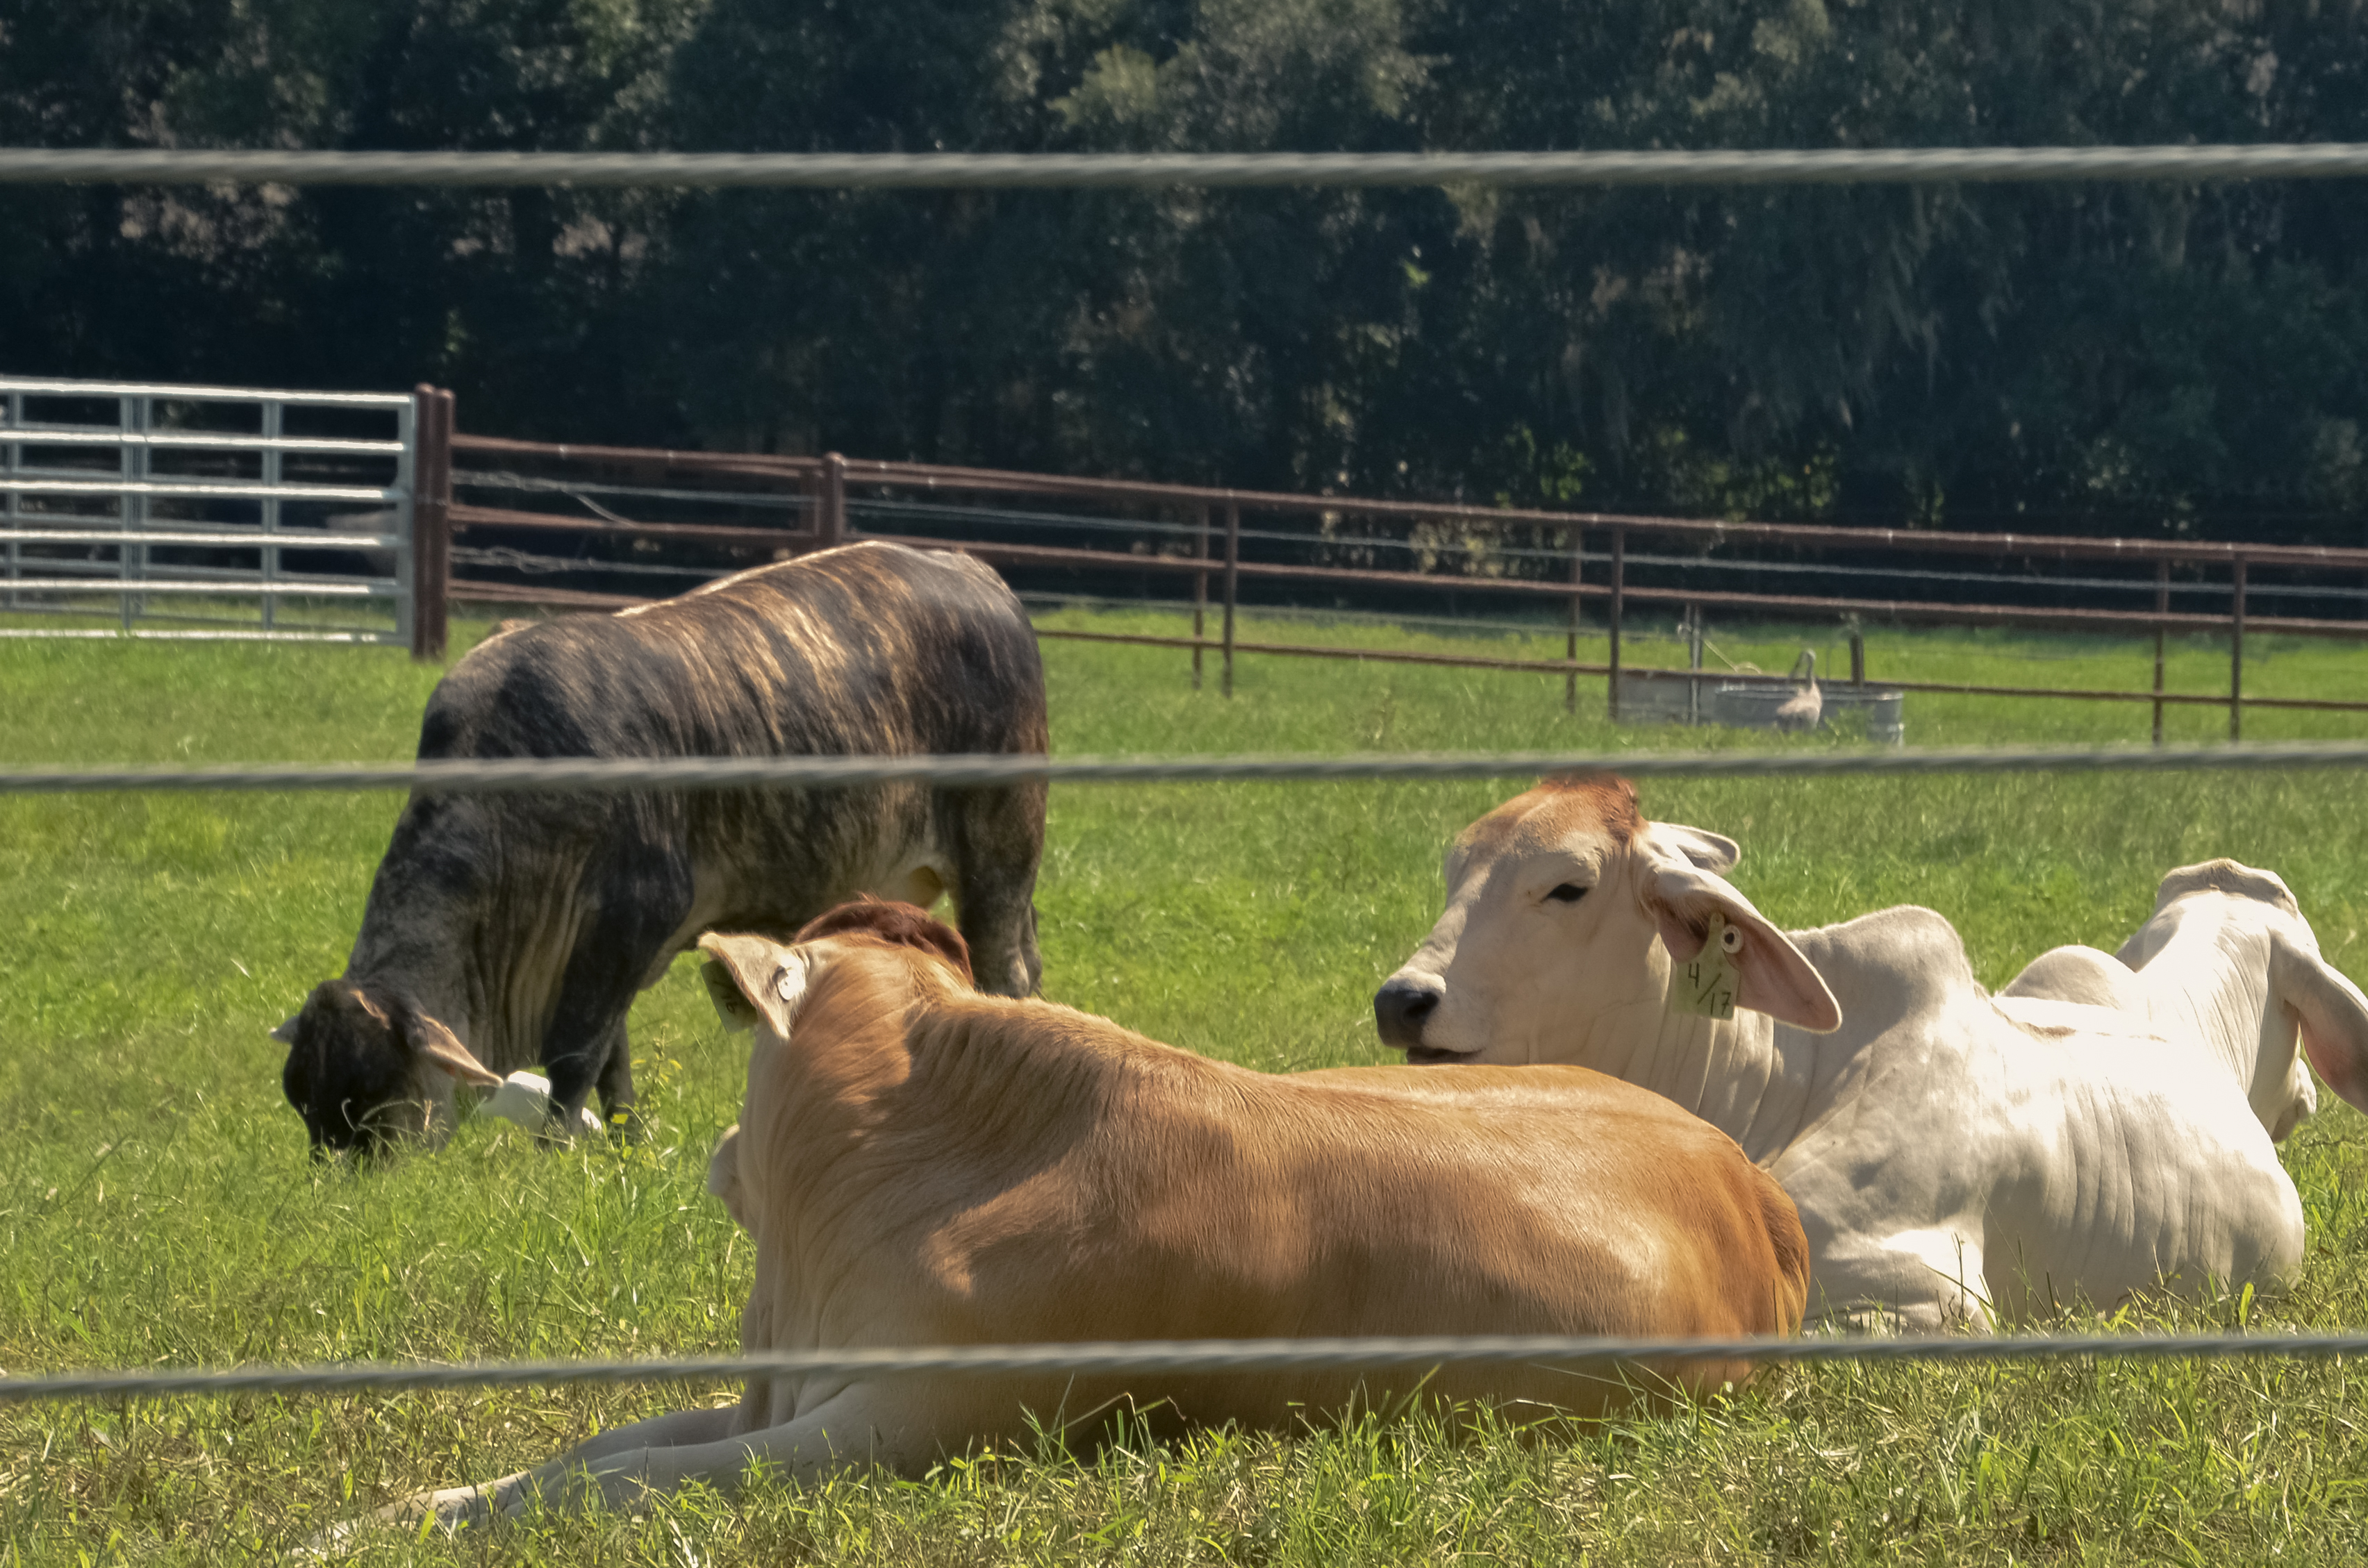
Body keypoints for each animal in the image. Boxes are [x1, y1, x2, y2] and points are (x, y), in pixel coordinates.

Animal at [276, 540, 1046, 1156]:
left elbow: (576, 1051)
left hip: (999, 856)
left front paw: (553, 1152)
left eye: (372, 1095)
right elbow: (612, 1059)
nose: (345, 1179)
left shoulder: (629, 921)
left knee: (1004, 974)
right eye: (302, 1100)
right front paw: (624, 1139)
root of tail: (972, 569)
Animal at [360, 895, 1799, 1535]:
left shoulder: (900, 1427)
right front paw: (397, 1508)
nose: (713, 1148)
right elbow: (593, 1447)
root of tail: (1739, 1169)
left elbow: (623, 1480)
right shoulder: (784, 1390)